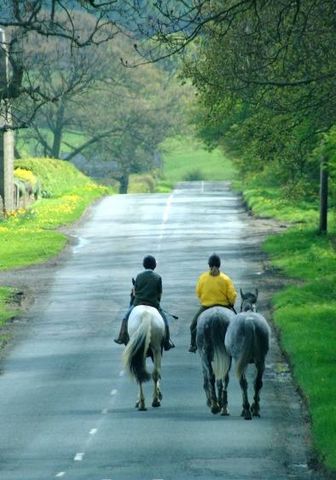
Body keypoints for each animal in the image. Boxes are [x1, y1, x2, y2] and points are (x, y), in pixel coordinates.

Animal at [224, 288, 272, 420]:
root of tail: (250, 323)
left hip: (239, 360)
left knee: (243, 383)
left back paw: (246, 410)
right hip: (261, 360)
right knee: (258, 383)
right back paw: (255, 409)